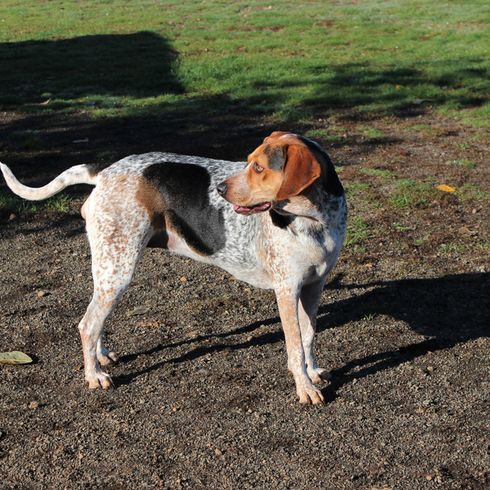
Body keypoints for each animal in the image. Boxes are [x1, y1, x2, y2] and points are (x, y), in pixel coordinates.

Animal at [0, 132, 344, 404]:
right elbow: (295, 348)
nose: (219, 190)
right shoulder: (286, 290)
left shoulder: (313, 286)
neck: (315, 219)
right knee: (87, 324)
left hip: (110, 271)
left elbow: (308, 336)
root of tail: (106, 171)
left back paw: (99, 356)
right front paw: (304, 387)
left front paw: (313, 372)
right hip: (119, 270)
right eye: (249, 162)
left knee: (95, 318)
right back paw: (93, 375)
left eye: (258, 167)